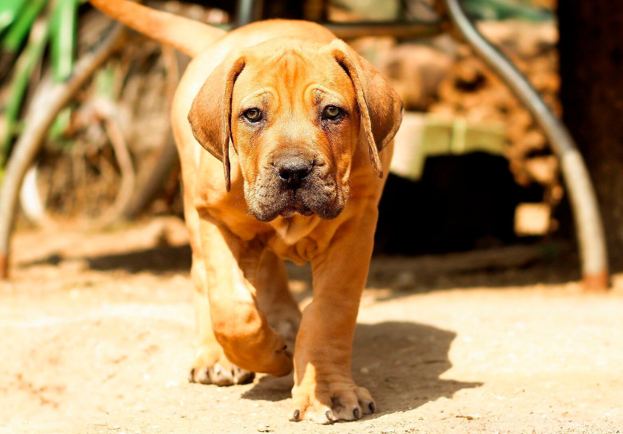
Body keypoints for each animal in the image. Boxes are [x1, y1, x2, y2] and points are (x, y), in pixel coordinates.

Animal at [90, 0, 402, 424]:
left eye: (333, 113)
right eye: (252, 115)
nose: (293, 170)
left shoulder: (353, 231)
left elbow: (329, 315)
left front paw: (327, 392)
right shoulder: (214, 219)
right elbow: (231, 308)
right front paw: (270, 355)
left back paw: (284, 321)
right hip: (195, 208)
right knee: (204, 278)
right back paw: (218, 356)